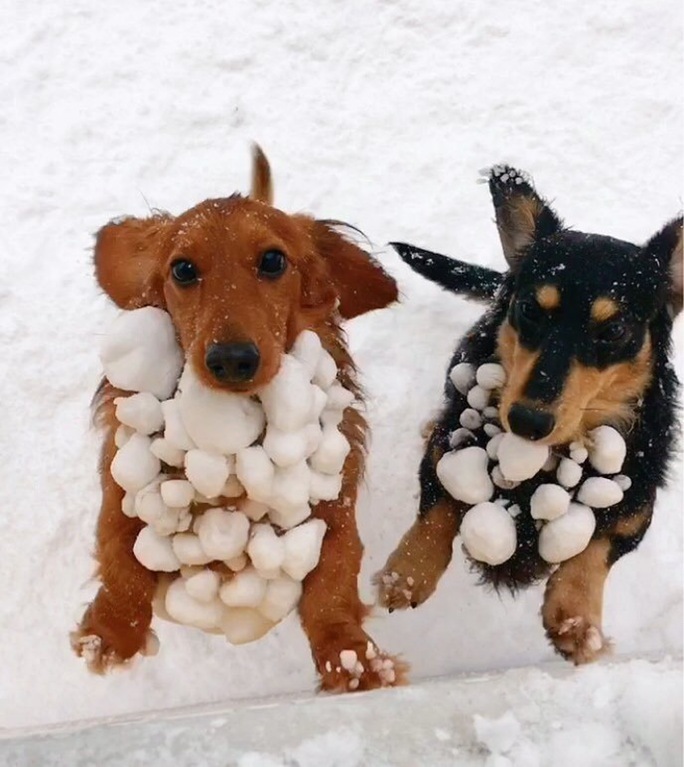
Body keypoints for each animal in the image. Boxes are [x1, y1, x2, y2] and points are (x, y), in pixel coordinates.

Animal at [73, 147, 406, 692]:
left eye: (273, 260)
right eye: (183, 269)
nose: (232, 360)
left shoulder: (335, 512)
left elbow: (333, 582)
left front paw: (351, 657)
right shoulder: (119, 493)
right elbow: (121, 555)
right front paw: (111, 633)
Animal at [376, 168, 680, 664]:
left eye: (614, 329)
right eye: (530, 309)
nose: (527, 422)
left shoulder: (637, 508)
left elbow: (596, 547)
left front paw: (576, 619)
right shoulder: (446, 454)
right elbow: (439, 503)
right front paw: (406, 575)